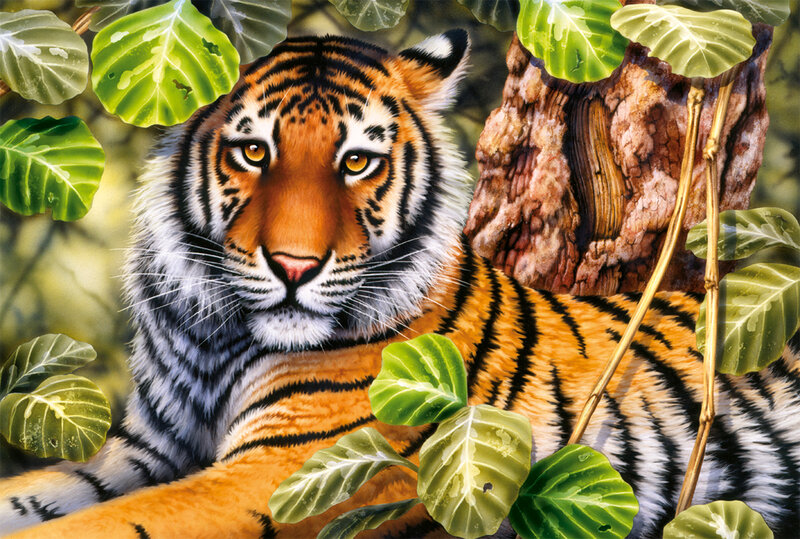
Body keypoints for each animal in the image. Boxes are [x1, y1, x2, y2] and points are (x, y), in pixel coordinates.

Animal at [1, 29, 799, 539]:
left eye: (358, 161)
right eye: (253, 152)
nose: (294, 267)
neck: (216, 333)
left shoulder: (293, 465)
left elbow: (109, 526)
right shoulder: (141, 453)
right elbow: (39, 496)